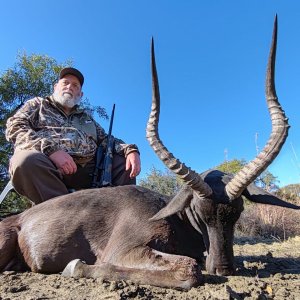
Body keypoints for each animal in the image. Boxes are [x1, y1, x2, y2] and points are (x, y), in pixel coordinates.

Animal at [0, 15, 298, 290]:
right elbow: (190, 269)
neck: (173, 215)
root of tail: (18, 219)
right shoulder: (123, 250)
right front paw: (75, 267)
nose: (223, 268)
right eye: (200, 212)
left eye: (237, 212)